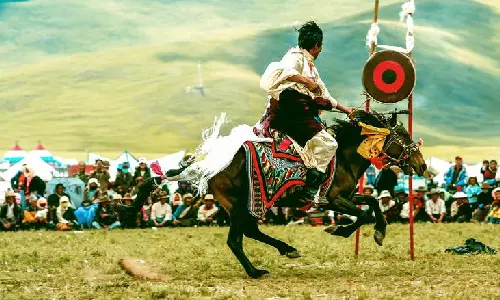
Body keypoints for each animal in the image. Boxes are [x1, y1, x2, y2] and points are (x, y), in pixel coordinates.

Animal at [169, 110, 426, 278]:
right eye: (404, 137)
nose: (422, 165)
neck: (343, 157)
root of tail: (210, 164)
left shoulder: (346, 196)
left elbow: (372, 203)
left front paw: (379, 233)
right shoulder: (330, 199)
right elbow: (364, 215)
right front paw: (338, 230)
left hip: (244, 206)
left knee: (248, 233)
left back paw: (284, 251)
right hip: (239, 204)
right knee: (236, 239)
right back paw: (256, 271)